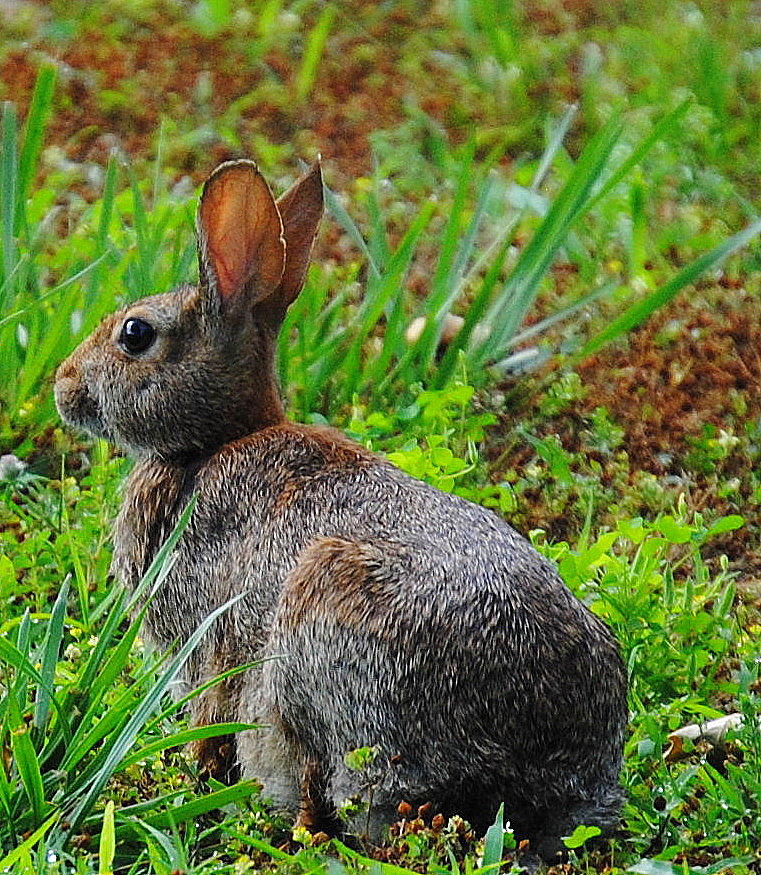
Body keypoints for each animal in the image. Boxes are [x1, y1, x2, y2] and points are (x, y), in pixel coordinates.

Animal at [55, 159, 628, 864]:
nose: (62, 386)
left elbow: (210, 715)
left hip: (324, 629)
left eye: (135, 334)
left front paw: (197, 777)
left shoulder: (209, 640)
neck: (209, 445)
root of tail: (542, 775)